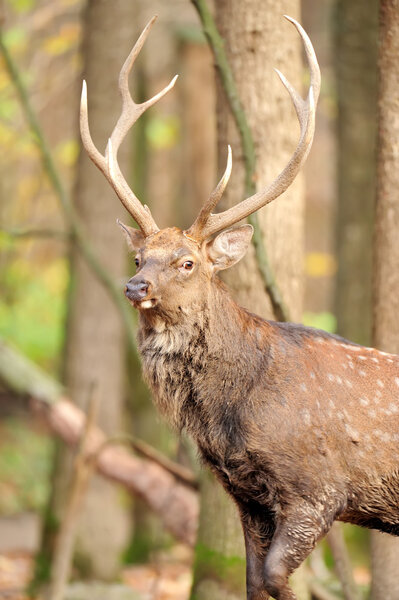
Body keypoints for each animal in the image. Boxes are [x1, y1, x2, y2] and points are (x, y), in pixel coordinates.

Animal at [79, 14, 399, 600]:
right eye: (138, 254)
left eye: (186, 262)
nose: (134, 285)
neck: (231, 415)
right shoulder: (246, 495)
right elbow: (254, 580)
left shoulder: (319, 488)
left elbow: (275, 577)